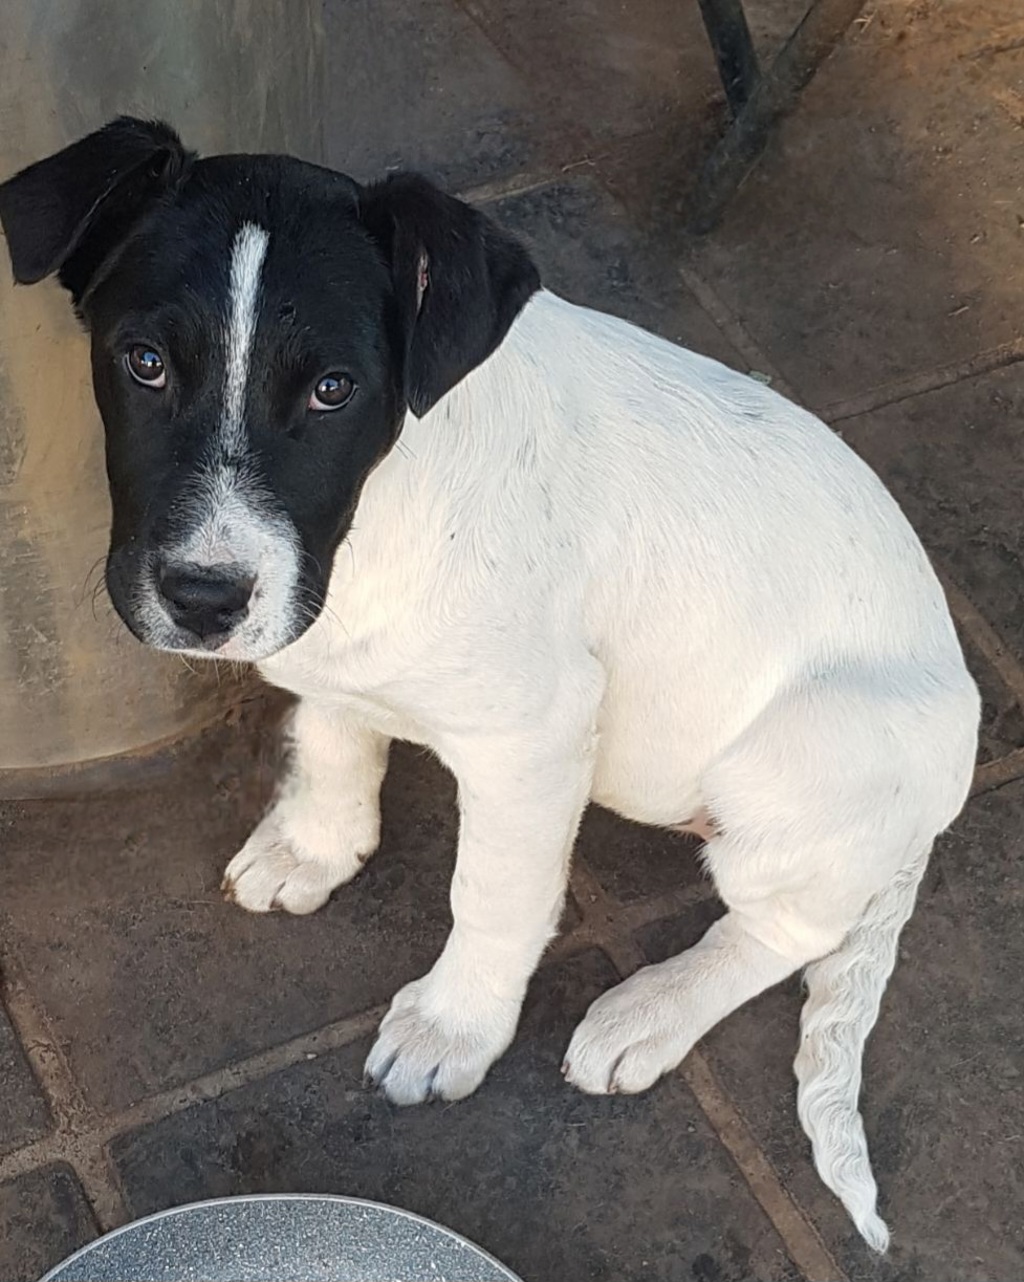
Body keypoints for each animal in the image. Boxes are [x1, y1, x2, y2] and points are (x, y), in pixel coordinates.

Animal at [0, 118, 979, 1252]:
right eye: (146, 364)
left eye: (333, 388)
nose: (204, 599)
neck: (379, 505)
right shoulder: (328, 636)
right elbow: (332, 737)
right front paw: (316, 844)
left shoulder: (534, 740)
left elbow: (495, 894)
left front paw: (452, 1026)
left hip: (796, 760)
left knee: (791, 929)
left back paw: (653, 1009)